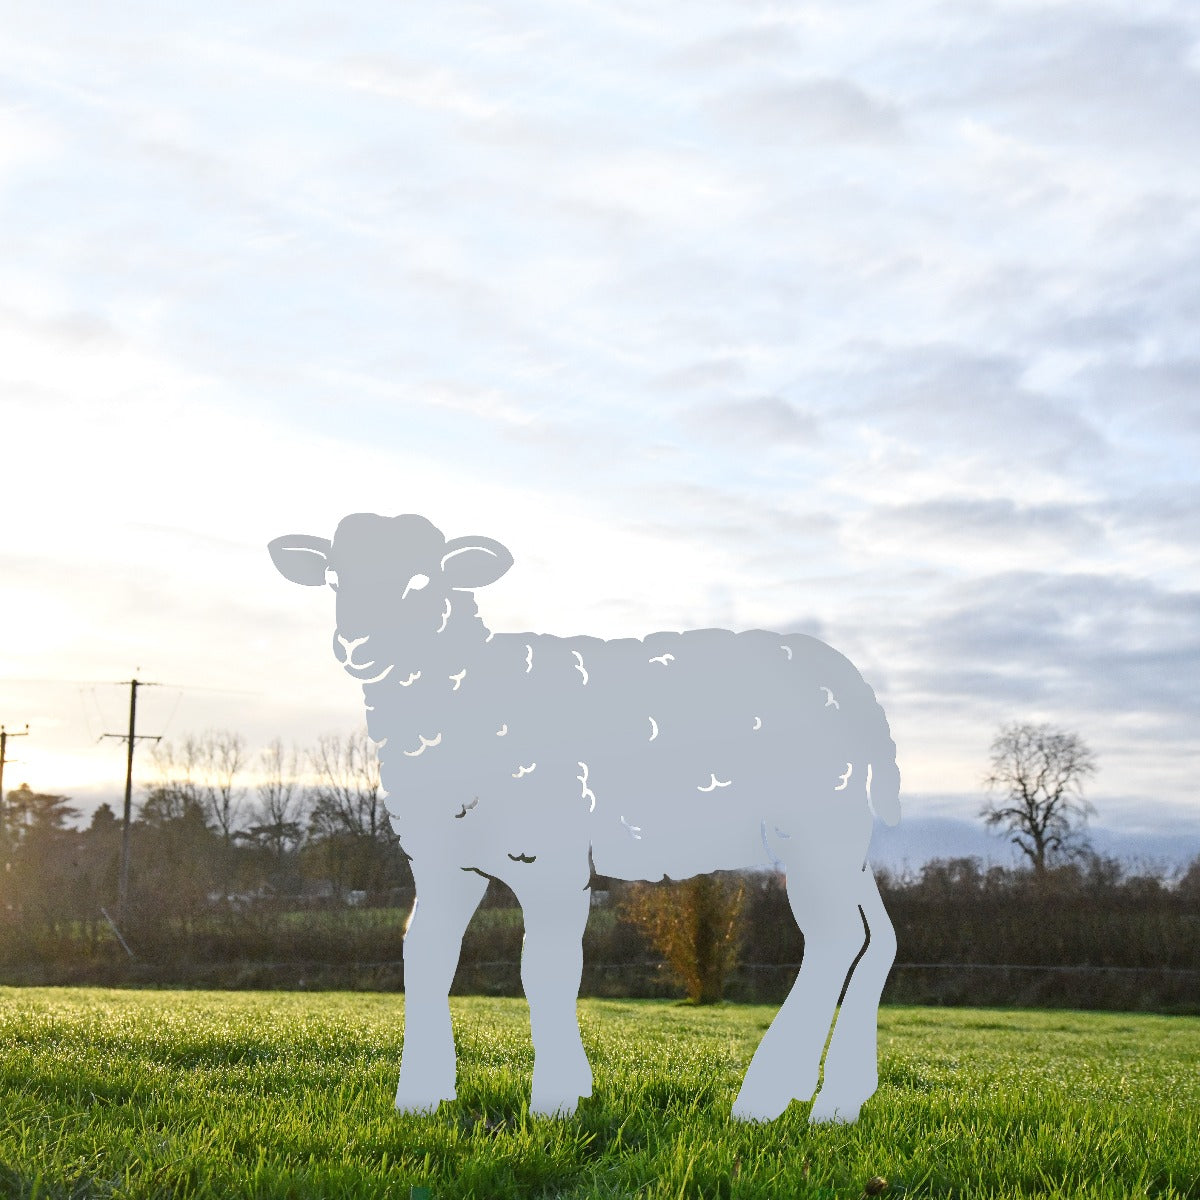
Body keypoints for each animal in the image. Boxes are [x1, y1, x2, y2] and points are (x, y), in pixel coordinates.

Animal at [269, 512, 900, 1123]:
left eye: (424, 579)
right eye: (333, 579)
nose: (358, 645)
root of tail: (852, 682)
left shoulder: (549, 852)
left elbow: (544, 969)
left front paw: (555, 1101)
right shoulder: (442, 857)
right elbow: (424, 956)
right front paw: (420, 1099)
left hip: (816, 821)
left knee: (836, 939)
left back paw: (765, 1099)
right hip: (842, 834)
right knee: (877, 939)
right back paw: (835, 1098)